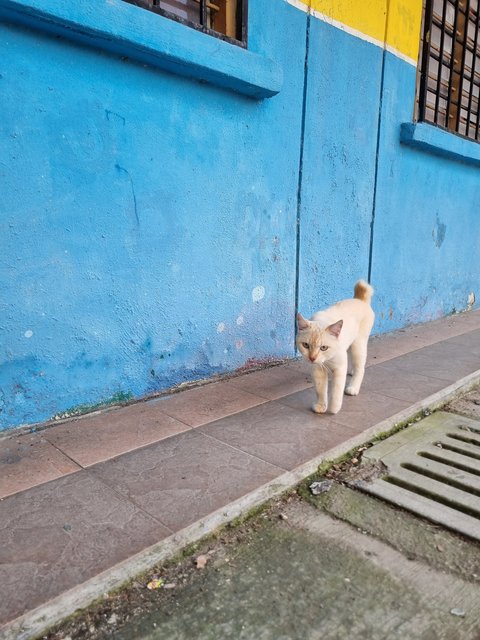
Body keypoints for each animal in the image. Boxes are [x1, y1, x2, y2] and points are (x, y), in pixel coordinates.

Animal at [296, 282, 376, 416]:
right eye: (306, 345)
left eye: (323, 347)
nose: (312, 358)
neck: (327, 360)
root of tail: (359, 299)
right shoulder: (317, 370)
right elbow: (320, 390)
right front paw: (321, 407)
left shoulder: (339, 369)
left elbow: (336, 392)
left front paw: (333, 409)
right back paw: (352, 372)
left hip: (358, 346)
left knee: (360, 368)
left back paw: (353, 388)